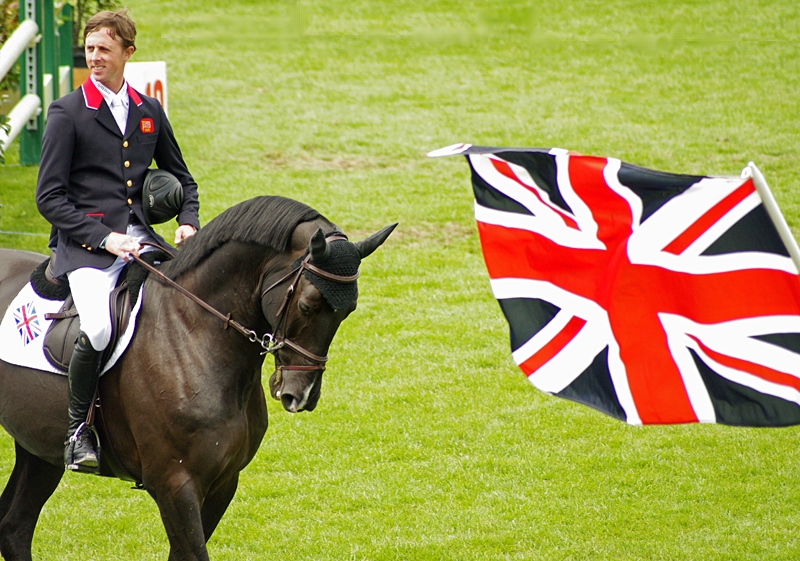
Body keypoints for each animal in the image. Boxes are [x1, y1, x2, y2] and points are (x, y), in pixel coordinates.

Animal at [0, 195, 396, 556]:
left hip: (39, 446)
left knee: (15, 527)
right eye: (308, 305)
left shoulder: (223, 481)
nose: (302, 395)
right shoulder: (174, 485)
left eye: (349, 310)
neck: (192, 334)